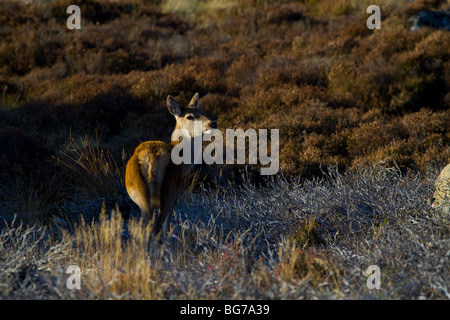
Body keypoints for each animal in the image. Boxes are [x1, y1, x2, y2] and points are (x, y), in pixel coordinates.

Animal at [125, 92, 217, 232]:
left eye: (203, 112)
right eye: (189, 117)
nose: (212, 123)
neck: (185, 165)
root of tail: (151, 159)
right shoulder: (177, 193)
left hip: (139, 192)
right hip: (169, 189)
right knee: (158, 226)